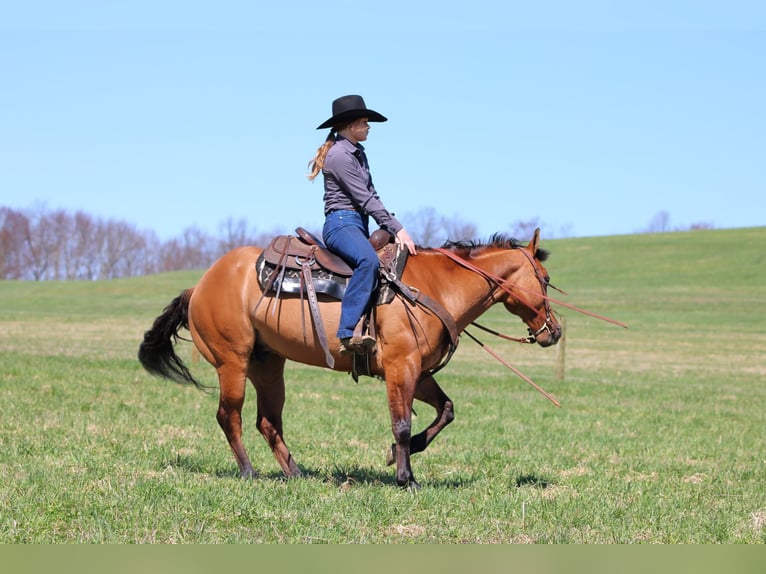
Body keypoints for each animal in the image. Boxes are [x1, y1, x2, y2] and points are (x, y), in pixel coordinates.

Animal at [138, 228, 561, 488]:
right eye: (544, 279)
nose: (554, 331)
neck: (435, 286)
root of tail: (199, 286)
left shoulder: (419, 371)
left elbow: (446, 411)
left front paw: (399, 458)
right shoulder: (401, 367)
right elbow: (402, 424)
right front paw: (406, 478)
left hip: (268, 364)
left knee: (267, 422)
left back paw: (296, 473)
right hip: (233, 362)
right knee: (230, 417)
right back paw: (248, 471)